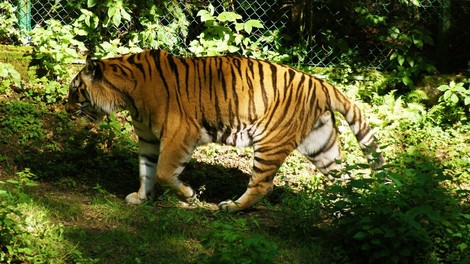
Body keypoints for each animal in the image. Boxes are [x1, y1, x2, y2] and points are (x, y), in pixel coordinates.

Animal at [66, 48, 384, 211]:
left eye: (74, 90)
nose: (66, 109)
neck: (127, 96)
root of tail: (321, 82)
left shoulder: (180, 134)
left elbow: (164, 173)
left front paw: (188, 195)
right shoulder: (147, 139)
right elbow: (146, 170)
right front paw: (141, 198)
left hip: (270, 142)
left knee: (263, 184)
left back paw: (231, 206)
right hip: (321, 145)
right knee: (345, 180)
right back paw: (347, 212)